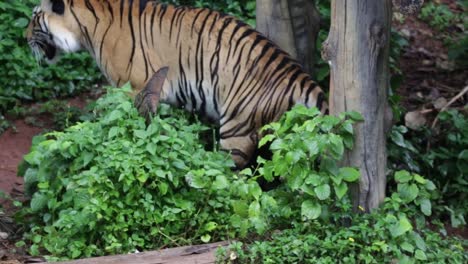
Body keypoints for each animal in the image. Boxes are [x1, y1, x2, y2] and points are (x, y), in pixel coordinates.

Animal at [24, 0, 326, 168]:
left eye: (34, 18)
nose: (24, 37)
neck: (85, 29)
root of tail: (294, 73)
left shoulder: (133, 87)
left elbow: (128, 124)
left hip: (237, 127)